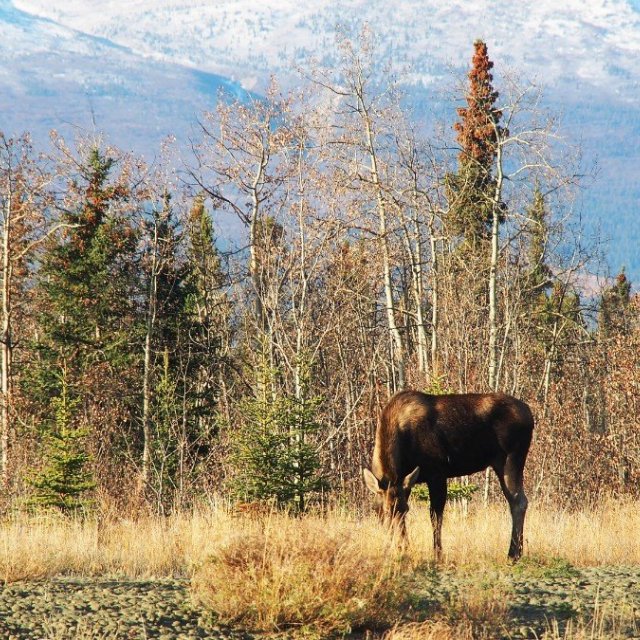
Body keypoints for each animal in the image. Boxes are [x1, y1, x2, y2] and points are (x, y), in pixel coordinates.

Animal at [364, 388, 536, 556]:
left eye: (405, 510)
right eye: (383, 511)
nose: (401, 547)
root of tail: (530, 414)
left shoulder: (437, 473)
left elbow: (435, 516)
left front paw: (437, 554)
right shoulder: (406, 483)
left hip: (512, 457)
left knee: (519, 501)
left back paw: (513, 554)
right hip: (500, 463)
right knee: (515, 500)